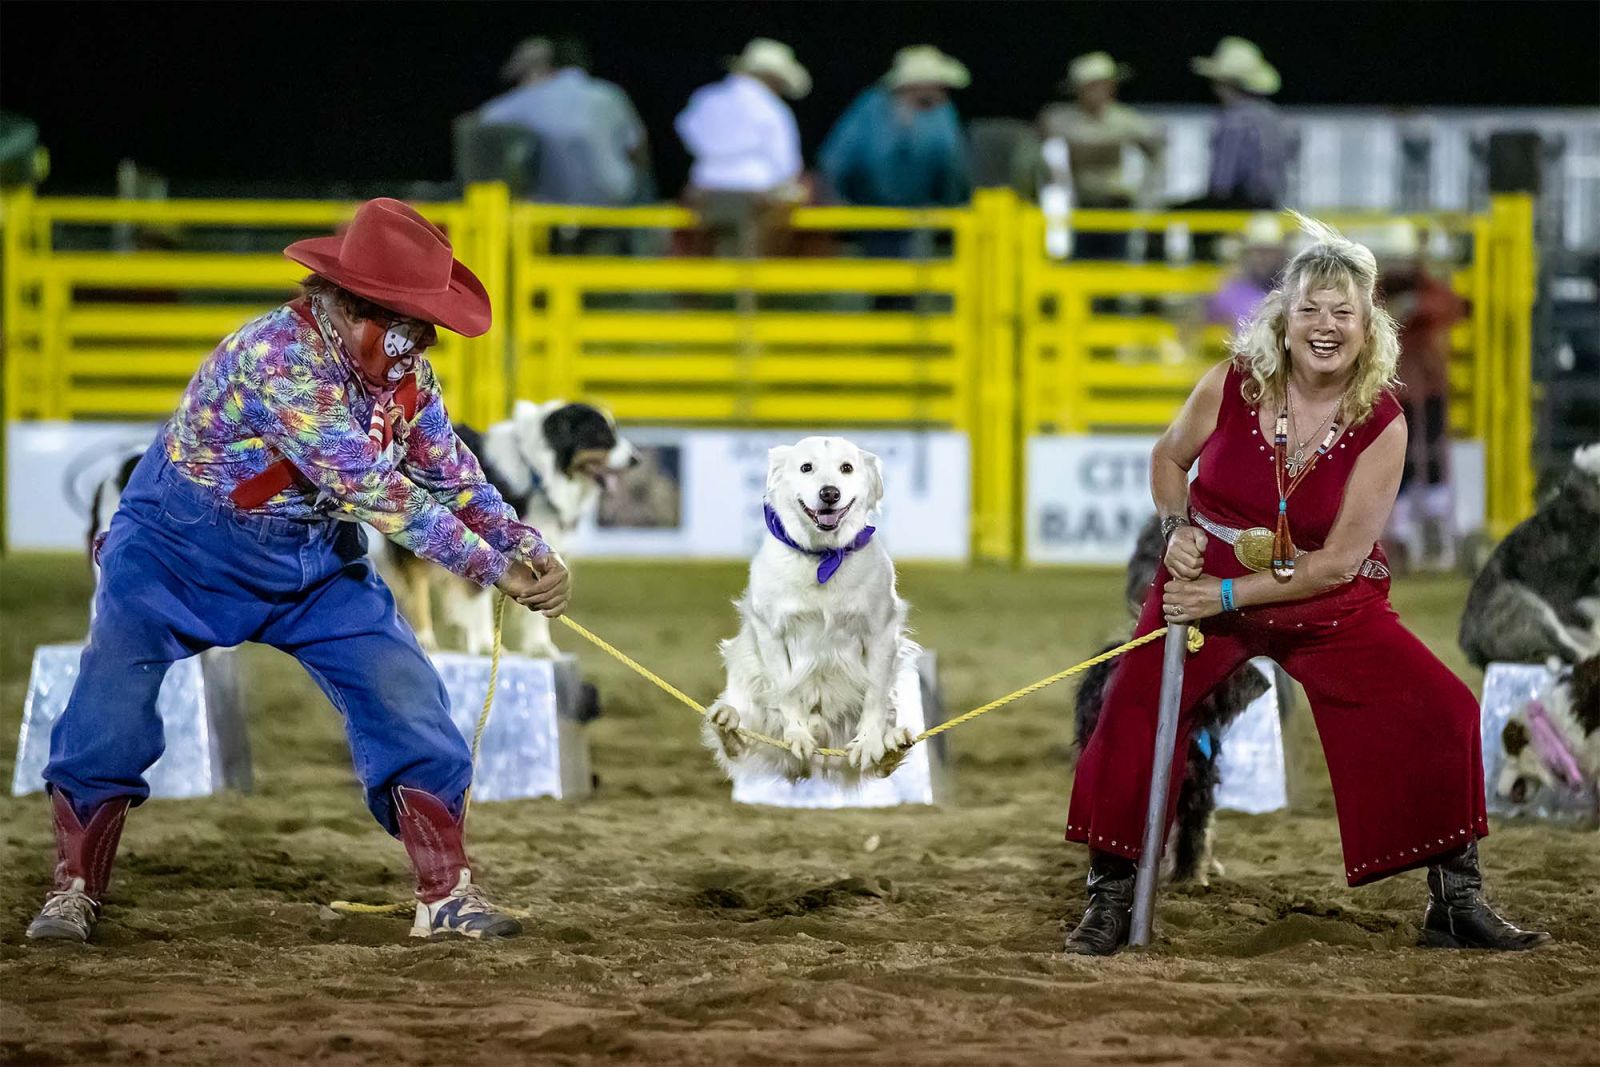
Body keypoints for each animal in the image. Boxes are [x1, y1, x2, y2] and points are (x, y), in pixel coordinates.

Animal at [707, 435, 921, 783]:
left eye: (846, 468)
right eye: (806, 467)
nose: (829, 493)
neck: (823, 556)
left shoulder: (881, 632)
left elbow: (874, 694)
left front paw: (869, 742)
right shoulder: (771, 633)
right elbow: (787, 690)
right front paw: (798, 735)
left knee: (882, 763)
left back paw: (893, 745)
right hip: (746, 669)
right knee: (742, 743)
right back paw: (728, 721)